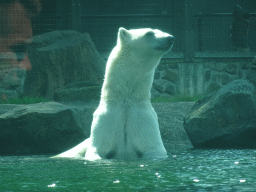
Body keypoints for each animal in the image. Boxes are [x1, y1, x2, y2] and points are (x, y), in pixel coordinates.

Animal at [53, 27, 175, 159]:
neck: (125, 101)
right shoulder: (106, 119)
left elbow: (154, 149)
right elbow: (96, 150)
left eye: (159, 30)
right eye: (149, 33)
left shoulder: (144, 120)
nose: (170, 38)